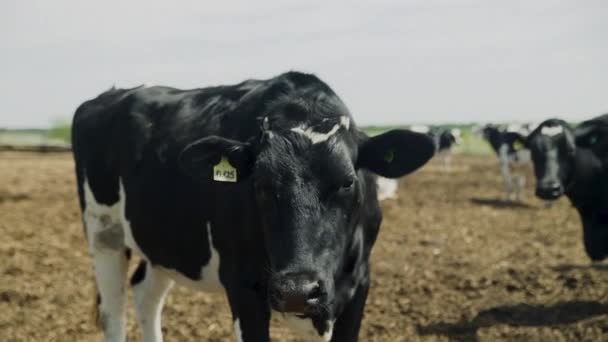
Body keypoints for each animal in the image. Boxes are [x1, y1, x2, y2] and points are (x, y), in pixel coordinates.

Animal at [72, 71, 436, 340]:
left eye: (347, 181)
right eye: (259, 184)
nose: (296, 290)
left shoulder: (358, 284)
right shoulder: (243, 286)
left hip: (165, 244)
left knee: (146, 296)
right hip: (103, 231)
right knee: (113, 312)